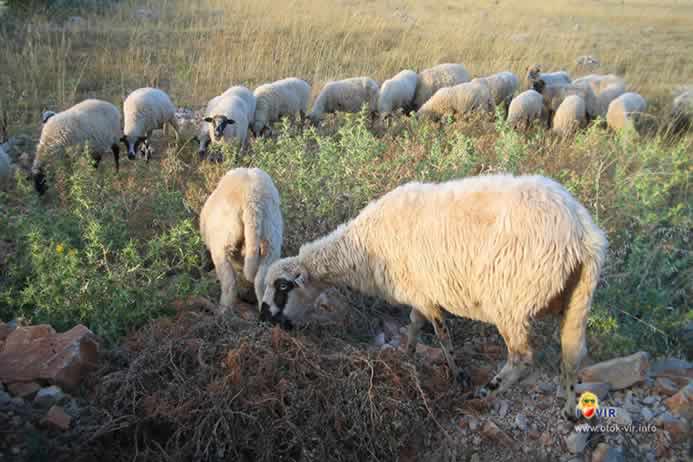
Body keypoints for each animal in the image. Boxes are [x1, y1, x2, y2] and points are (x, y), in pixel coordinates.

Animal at [200, 168, 284, 312]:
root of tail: (252, 198)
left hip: (224, 236)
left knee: (229, 281)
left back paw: (223, 309)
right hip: (271, 231)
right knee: (261, 280)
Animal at [260, 174, 604, 422]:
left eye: (282, 288)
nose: (265, 319)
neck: (363, 248)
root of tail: (583, 233)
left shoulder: (427, 294)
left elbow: (442, 335)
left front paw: (459, 376)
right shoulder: (418, 293)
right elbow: (414, 324)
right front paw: (408, 355)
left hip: (511, 303)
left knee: (522, 358)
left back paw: (485, 392)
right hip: (578, 297)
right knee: (573, 353)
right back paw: (570, 409)